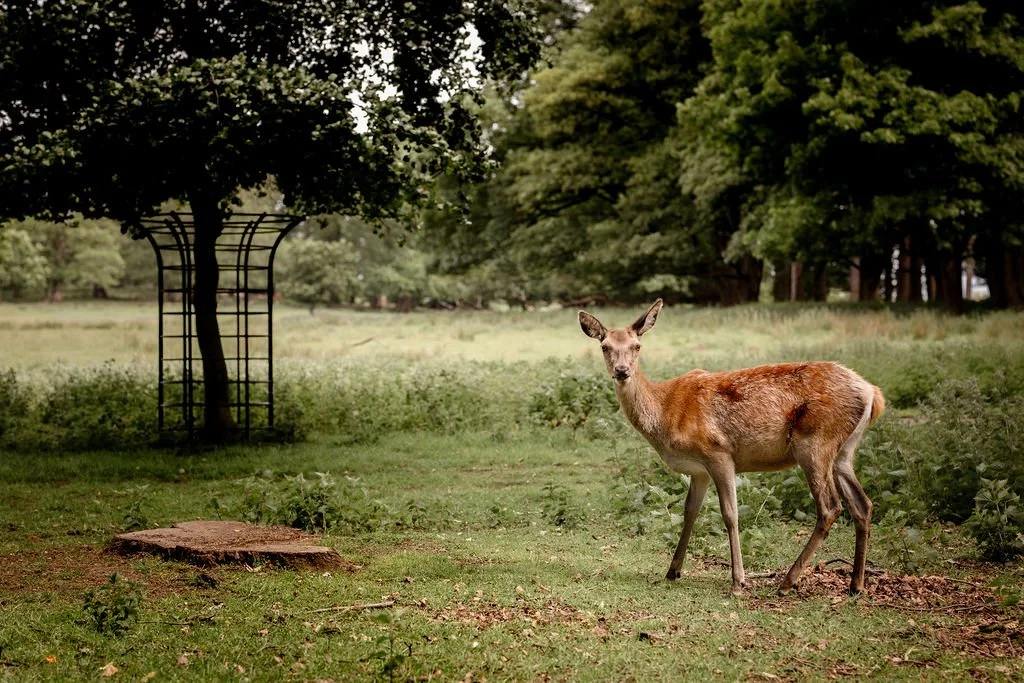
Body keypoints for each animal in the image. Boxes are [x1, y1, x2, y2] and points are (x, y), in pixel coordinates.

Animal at [578, 299, 885, 596]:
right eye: (605, 346)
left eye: (637, 346)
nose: (622, 371)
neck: (664, 412)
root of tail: (872, 393)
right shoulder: (698, 470)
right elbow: (690, 513)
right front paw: (672, 571)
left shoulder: (719, 453)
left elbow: (730, 514)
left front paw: (739, 582)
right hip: (843, 452)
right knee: (862, 504)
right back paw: (856, 585)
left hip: (815, 443)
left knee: (830, 507)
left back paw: (787, 582)